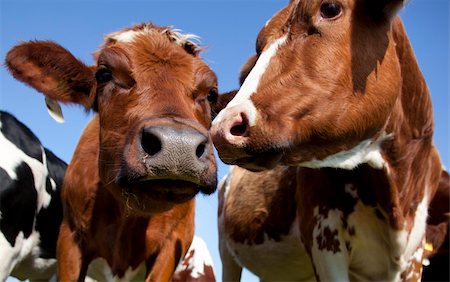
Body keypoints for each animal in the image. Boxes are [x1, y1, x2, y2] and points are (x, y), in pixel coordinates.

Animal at [212, 1, 442, 280]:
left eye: (330, 8)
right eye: (259, 45)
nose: (222, 127)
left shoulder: (415, 257)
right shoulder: (324, 239)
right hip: (226, 253)